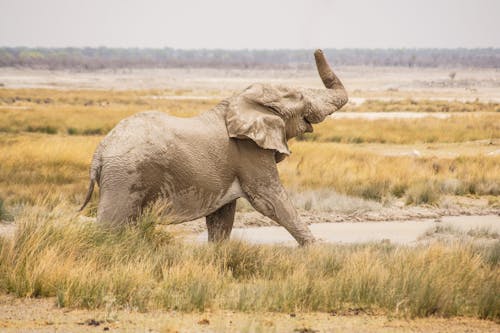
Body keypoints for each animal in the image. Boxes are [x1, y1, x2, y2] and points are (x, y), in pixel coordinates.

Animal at [81, 50, 348, 245]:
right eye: (300, 98)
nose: (317, 49)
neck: (239, 98)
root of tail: (100, 151)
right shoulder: (249, 153)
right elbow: (270, 200)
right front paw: (316, 253)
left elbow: (222, 217)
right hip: (125, 176)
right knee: (111, 223)